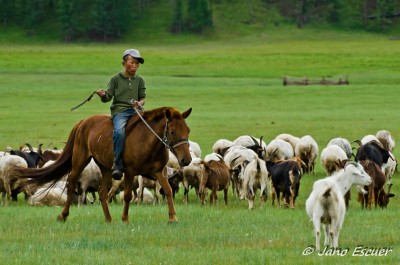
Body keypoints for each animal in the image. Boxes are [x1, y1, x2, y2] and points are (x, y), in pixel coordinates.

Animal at [14, 106, 191, 222]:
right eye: (172, 131)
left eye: (187, 130)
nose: (186, 160)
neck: (148, 140)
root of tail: (84, 121)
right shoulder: (130, 172)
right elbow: (127, 195)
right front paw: (125, 219)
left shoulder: (159, 172)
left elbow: (168, 191)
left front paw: (173, 218)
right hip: (79, 160)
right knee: (71, 185)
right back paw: (63, 215)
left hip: (105, 168)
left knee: (102, 192)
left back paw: (108, 219)